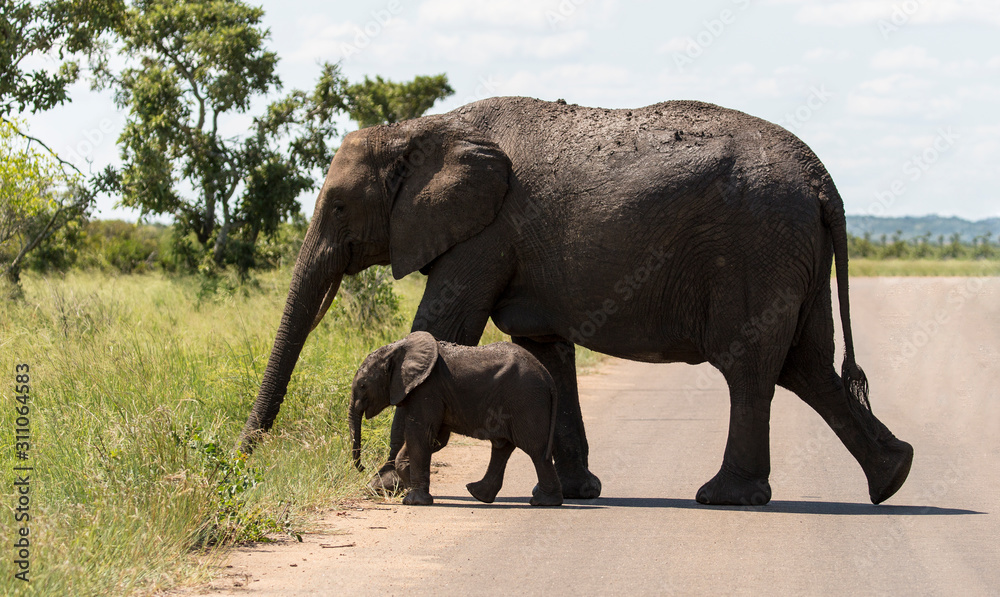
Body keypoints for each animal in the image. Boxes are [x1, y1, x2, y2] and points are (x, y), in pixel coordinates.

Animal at [349, 331, 563, 506]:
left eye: (362, 385)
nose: (362, 467)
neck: (397, 349)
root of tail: (548, 377)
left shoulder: (427, 389)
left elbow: (419, 433)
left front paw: (413, 502)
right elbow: (434, 439)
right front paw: (408, 487)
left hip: (525, 401)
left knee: (535, 449)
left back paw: (543, 502)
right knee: (503, 447)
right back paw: (478, 494)